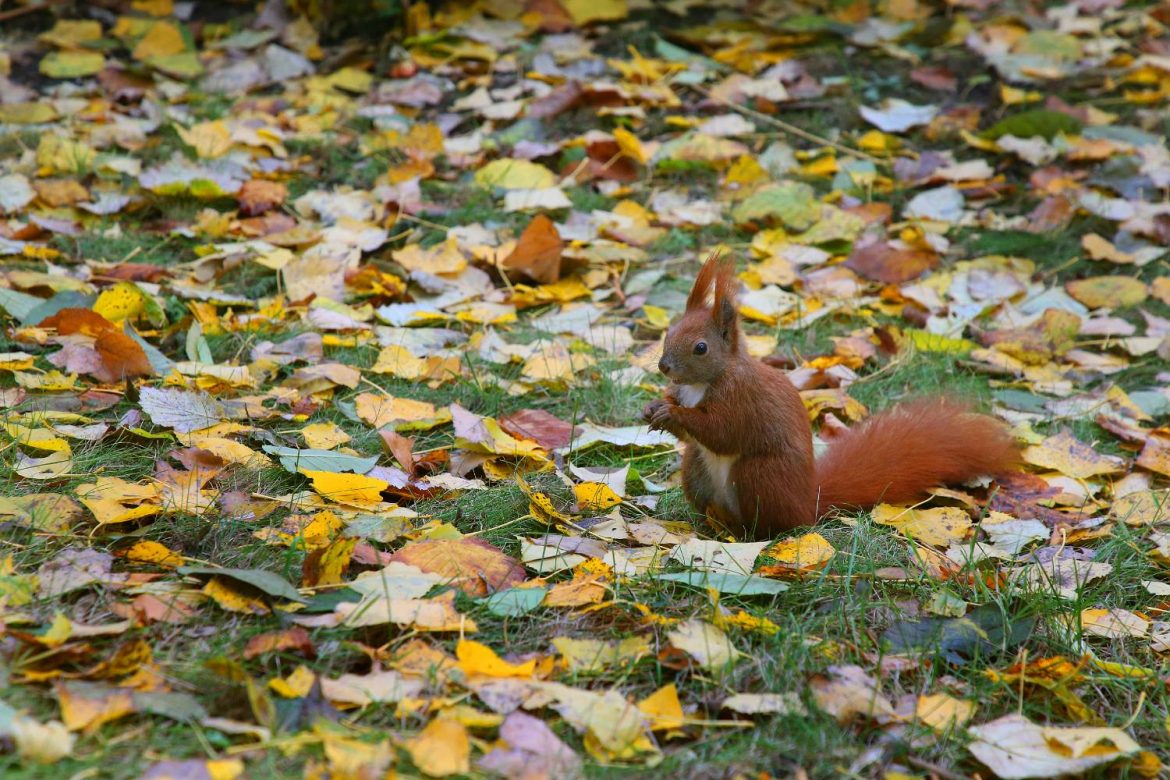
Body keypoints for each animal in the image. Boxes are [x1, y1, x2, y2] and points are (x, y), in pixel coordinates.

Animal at [645, 253, 1020, 540]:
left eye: (701, 348)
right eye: (670, 332)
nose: (664, 366)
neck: (702, 383)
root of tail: (806, 506)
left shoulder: (742, 398)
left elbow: (723, 431)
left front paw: (673, 413)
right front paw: (653, 408)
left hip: (760, 475)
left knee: (771, 524)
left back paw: (745, 532)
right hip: (695, 468)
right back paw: (710, 523)